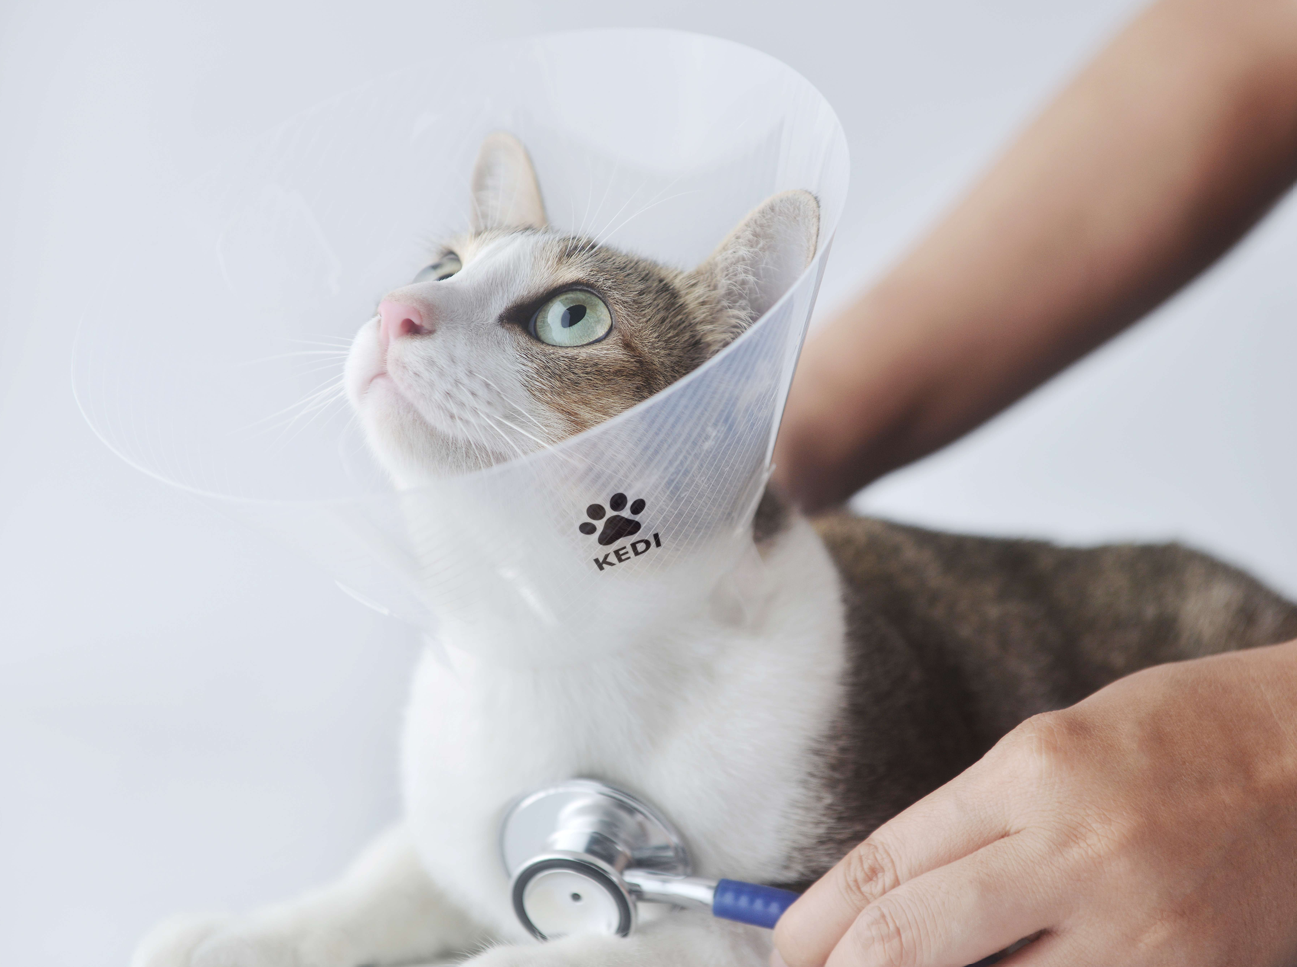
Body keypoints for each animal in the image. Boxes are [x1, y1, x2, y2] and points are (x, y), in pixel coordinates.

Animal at [132, 132, 1297, 967]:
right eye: (438, 264)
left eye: (571, 315)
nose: (396, 307)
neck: (558, 637)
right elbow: (391, 874)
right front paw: (240, 930)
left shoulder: (806, 907)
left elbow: (595, 948)